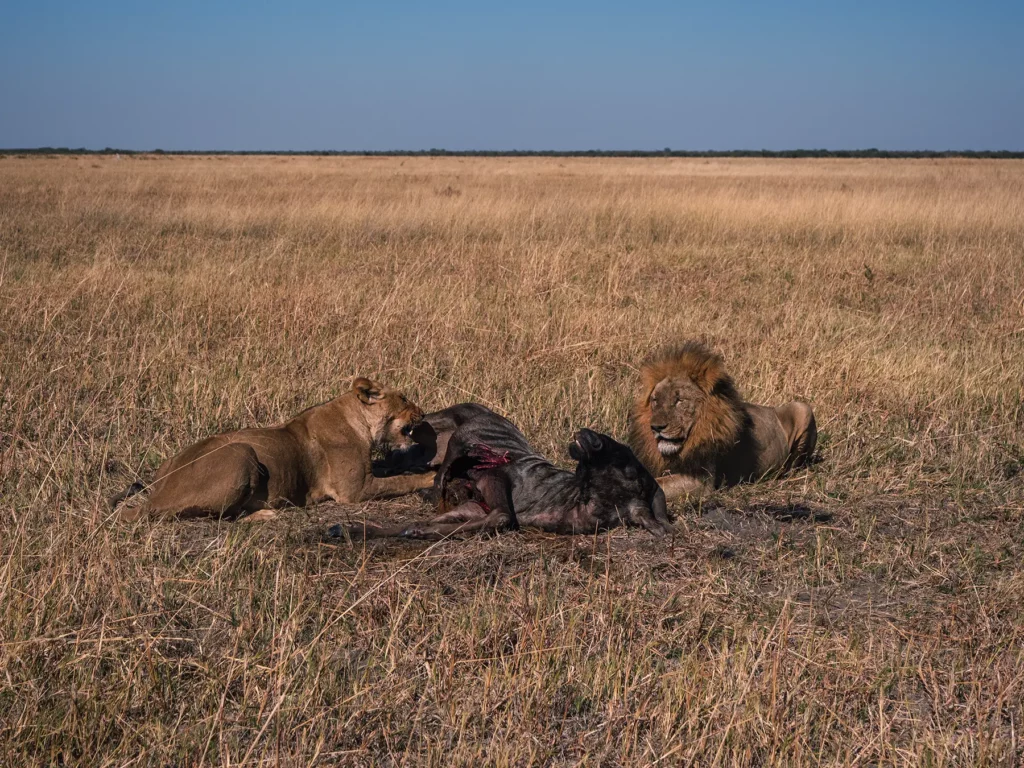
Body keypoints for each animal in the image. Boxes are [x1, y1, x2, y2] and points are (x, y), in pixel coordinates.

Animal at [110, 377, 435, 521]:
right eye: (404, 399)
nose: (423, 413)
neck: (360, 423)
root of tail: (155, 495)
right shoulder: (354, 491)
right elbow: (400, 481)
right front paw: (430, 476)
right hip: (242, 452)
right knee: (222, 516)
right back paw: (266, 513)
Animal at [628, 342, 816, 499]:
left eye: (680, 400)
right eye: (655, 400)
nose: (656, 427)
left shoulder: (701, 481)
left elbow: (658, 484)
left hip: (802, 408)